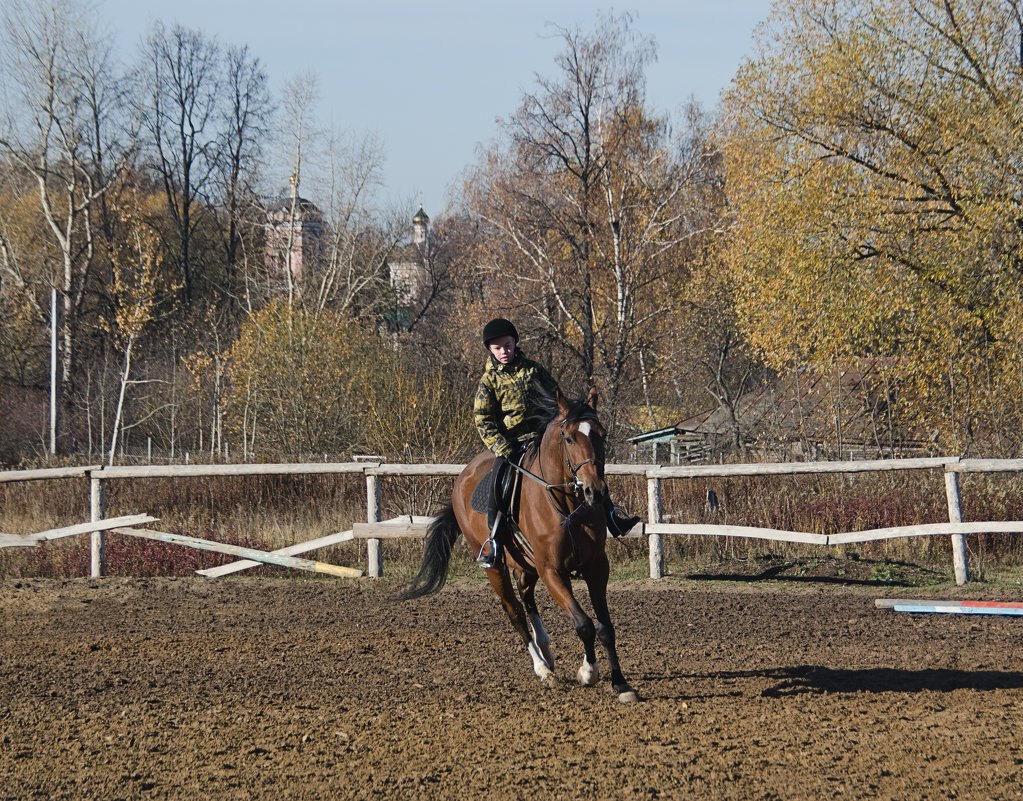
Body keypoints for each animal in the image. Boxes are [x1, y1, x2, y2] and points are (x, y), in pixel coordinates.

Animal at [398, 388, 638, 703]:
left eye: (602, 434)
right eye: (569, 438)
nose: (594, 491)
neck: (566, 506)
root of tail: (463, 478)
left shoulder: (596, 567)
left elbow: (605, 627)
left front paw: (620, 684)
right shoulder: (552, 571)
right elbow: (584, 624)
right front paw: (588, 673)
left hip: (526, 566)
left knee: (527, 598)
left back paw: (546, 652)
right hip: (496, 567)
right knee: (515, 612)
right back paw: (542, 669)